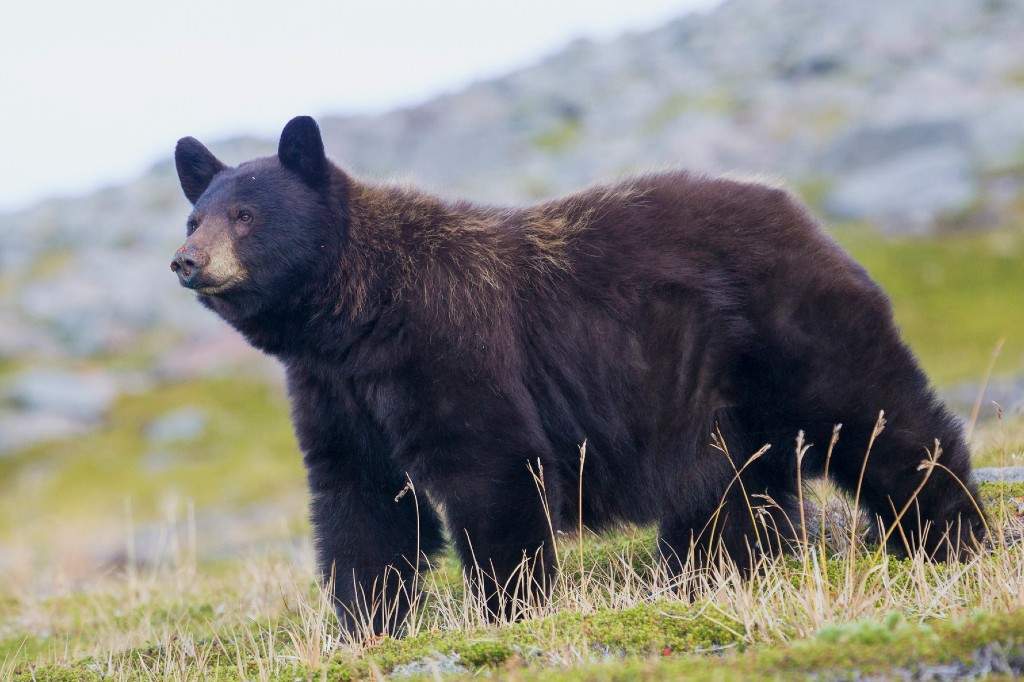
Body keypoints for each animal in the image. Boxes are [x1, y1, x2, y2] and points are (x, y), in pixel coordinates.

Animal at [172, 116, 986, 634]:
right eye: (195, 216)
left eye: (245, 214)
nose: (187, 261)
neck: (356, 318)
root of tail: (799, 209)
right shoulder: (337, 394)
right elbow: (361, 503)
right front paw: (366, 622)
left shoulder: (448, 347)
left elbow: (491, 470)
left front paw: (509, 607)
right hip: (710, 394)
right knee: (730, 491)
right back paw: (709, 572)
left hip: (790, 330)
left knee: (877, 418)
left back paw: (949, 533)